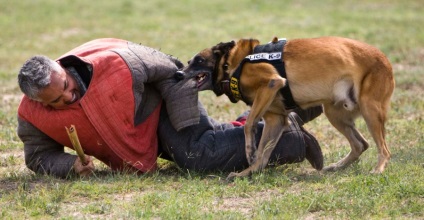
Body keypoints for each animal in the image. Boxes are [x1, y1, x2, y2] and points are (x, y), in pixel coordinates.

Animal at [177, 36, 396, 180]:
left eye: (199, 61)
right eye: (188, 62)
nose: (178, 74)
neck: (234, 63)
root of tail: (385, 58)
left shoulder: (271, 83)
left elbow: (249, 125)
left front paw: (249, 150)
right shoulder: (276, 120)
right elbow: (263, 154)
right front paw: (248, 172)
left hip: (369, 110)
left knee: (384, 149)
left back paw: (378, 169)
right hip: (334, 113)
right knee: (361, 144)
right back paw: (337, 166)